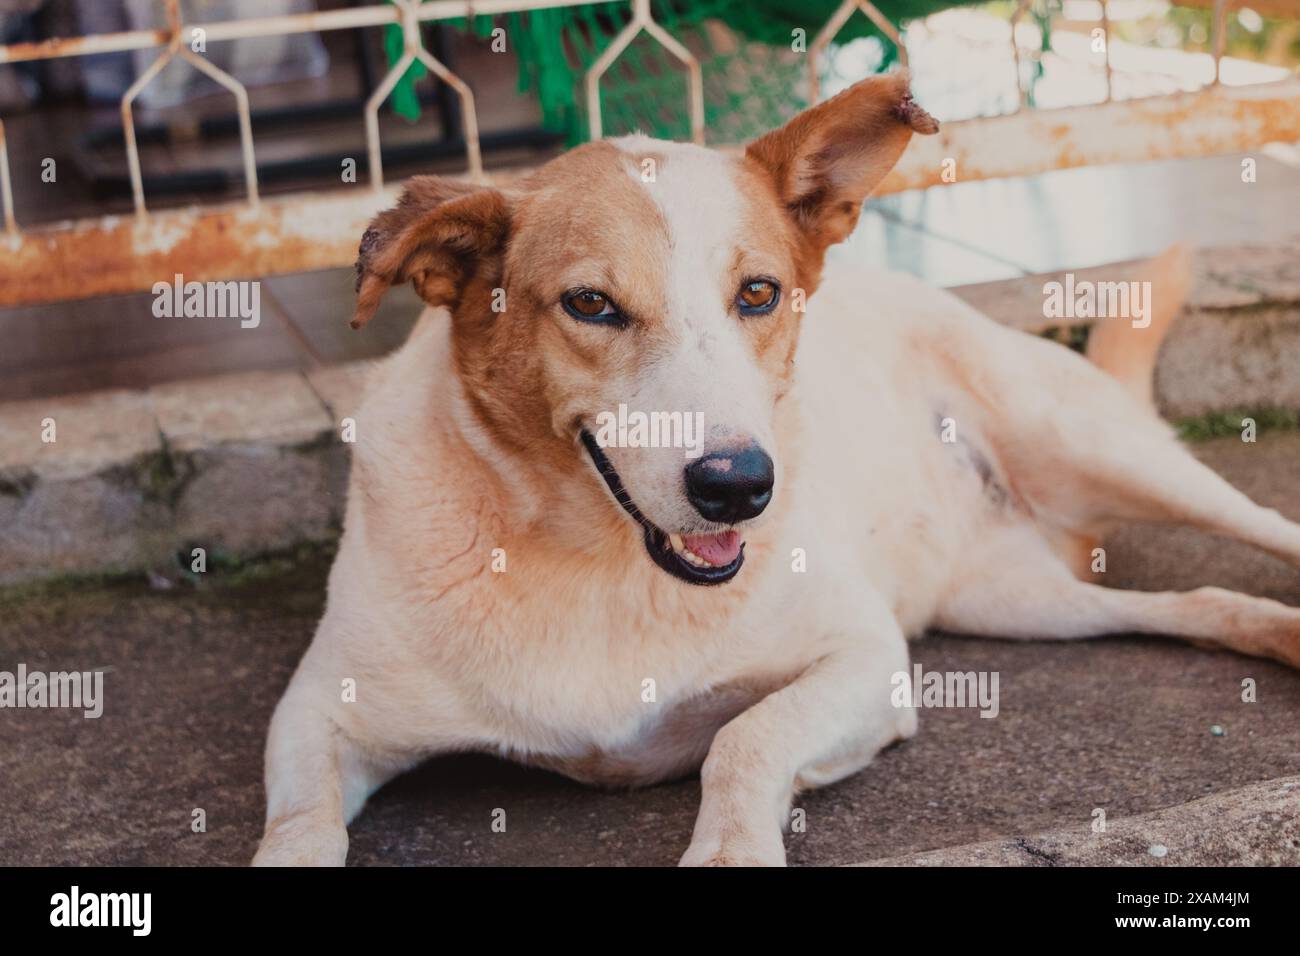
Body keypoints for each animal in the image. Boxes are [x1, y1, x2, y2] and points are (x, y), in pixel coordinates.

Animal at [253, 72, 1300, 868]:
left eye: (758, 293)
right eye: (590, 304)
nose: (738, 487)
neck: (595, 562)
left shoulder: (868, 660)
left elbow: (740, 740)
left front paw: (729, 848)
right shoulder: (314, 714)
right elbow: (297, 829)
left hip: (1096, 451)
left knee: (1260, 529)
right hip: (1012, 601)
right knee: (1196, 601)